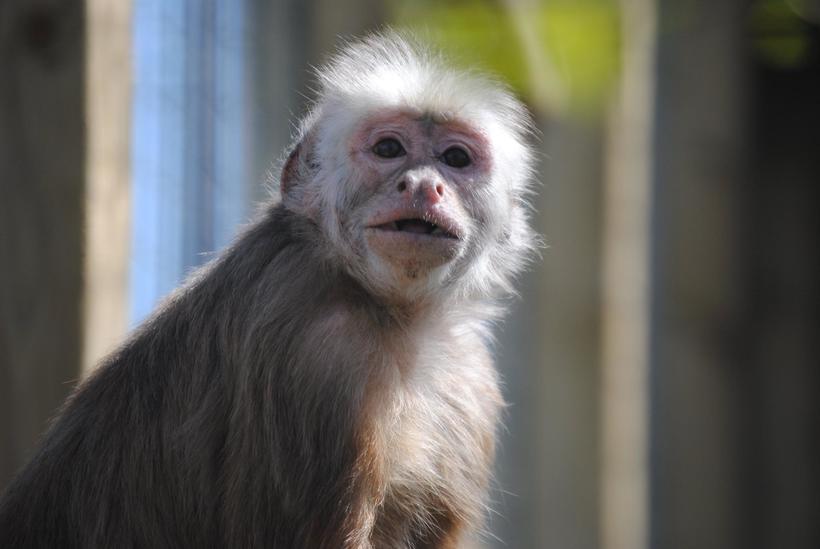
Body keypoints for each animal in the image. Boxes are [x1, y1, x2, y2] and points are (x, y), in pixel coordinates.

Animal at [0, 32, 540, 544]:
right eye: (389, 150)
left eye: (455, 158)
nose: (424, 185)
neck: (389, 311)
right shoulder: (318, 347)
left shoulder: (470, 380)